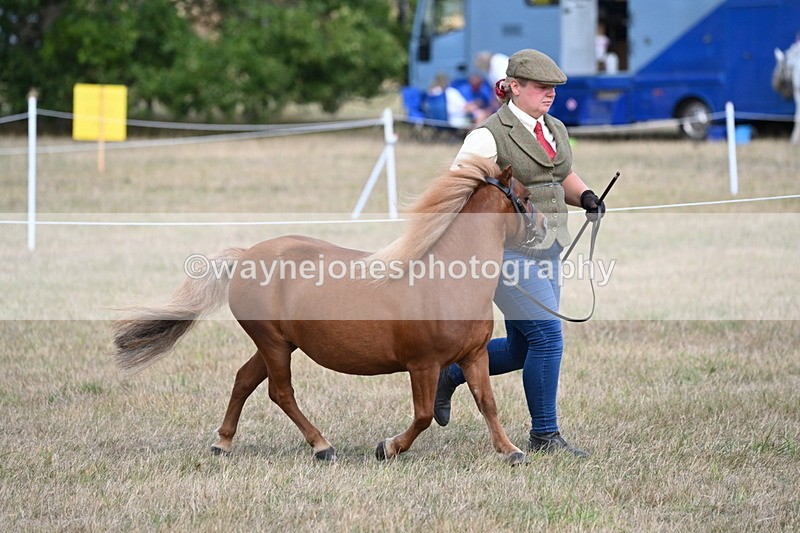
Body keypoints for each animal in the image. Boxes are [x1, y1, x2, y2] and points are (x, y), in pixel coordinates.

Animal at [112, 157, 546, 465]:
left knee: (243, 380)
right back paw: (322, 446)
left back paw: (223, 443)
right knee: (280, 392)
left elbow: (487, 403)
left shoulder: (474, 356)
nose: (544, 227)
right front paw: (387, 448)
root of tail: (245, 256)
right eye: (524, 196)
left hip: (276, 344)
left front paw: (511, 451)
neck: (447, 281)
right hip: (273, 343)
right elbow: (423, 415)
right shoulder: (423, 365)